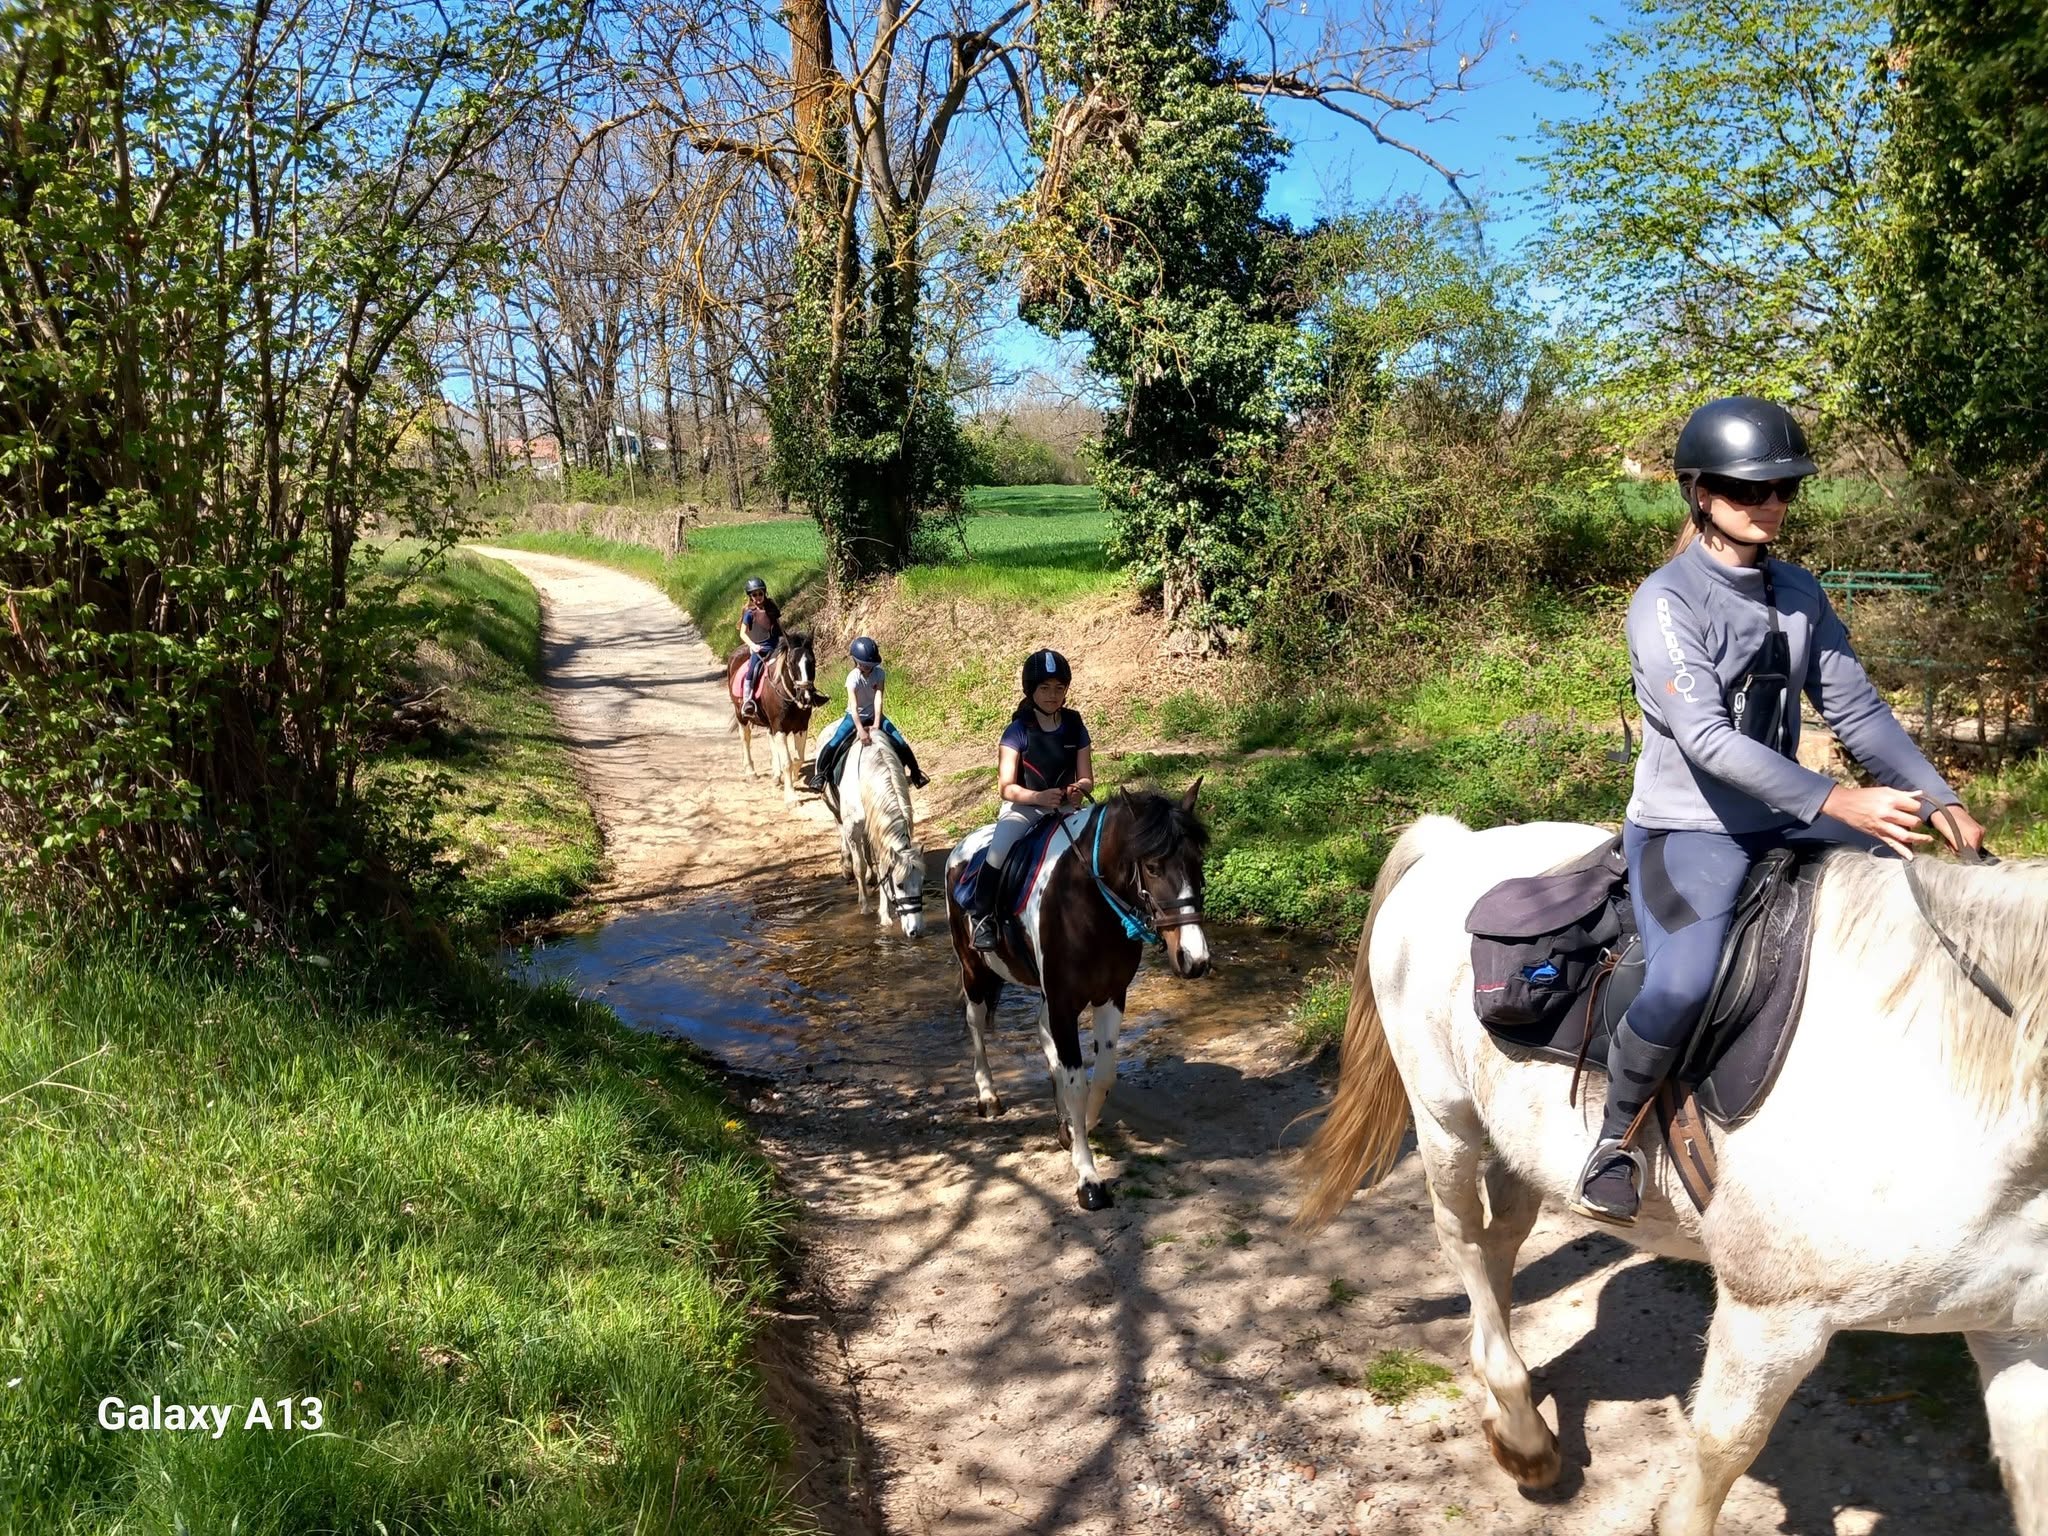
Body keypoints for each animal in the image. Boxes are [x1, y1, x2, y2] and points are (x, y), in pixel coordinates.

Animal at [725, 633, 827, 806]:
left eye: (812, 661)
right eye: (791, 663)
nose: (806, 697)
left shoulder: (801, 727)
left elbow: (798, 758)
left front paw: (791, 777)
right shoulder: (779, 727)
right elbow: (787, 761)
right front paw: (791, 797)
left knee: (769, 738)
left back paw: (776, 775)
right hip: (741, 715)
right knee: (745, 738)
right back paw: (751, 772)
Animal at [836, 738, 926, 938]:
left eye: (922, 883)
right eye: (899, 885)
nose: (915, 931)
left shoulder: (882, 832)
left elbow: (884, 868)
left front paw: (884, 916)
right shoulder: (852, 828)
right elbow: (859, 867)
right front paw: (865, 907)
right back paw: (847, 866)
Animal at [944, 783, 1212, 1210]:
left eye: (1196, 862)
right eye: (1153, 867)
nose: (1195, 959)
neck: (1086, 902)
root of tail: (960, 848)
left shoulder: (1110, 995)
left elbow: (1101, 1076)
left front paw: (1078, 1126)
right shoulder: (1064, 1000)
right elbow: (1076, 1083)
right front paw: (1088, 1177)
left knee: (1042, 1034)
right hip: (974, 970)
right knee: (975, 1023)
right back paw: (987, 1096)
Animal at [1295, 815, 2048, 1536]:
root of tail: (1454, 843)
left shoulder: (2018, 1336)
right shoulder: (1771, 1315)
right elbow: (1723, 1450)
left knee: (1500, 1240)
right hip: (1444, 1118)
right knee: (1462, 1240)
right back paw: (1521, 1429)